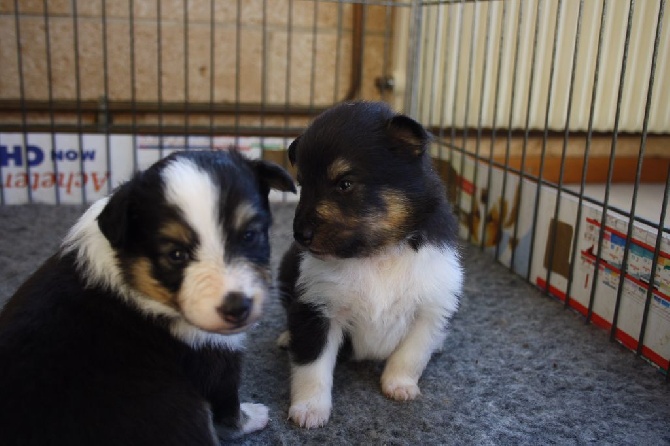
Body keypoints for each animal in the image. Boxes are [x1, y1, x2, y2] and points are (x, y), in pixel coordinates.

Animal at [0, 148, 296, 444]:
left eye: (249, 235)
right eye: (176, 255)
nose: (237, 308)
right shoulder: (211, 354)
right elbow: (227, 405)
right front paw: (253, 416)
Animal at [276, 102, 462, 428]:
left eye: (345, 184)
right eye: (302, 184)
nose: (300, 235)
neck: (376, 255)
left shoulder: (431, 308)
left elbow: (411, 354)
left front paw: (399, 385)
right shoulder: (316, 307)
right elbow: (312, 367)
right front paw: (309, 409)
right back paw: (287, 336)